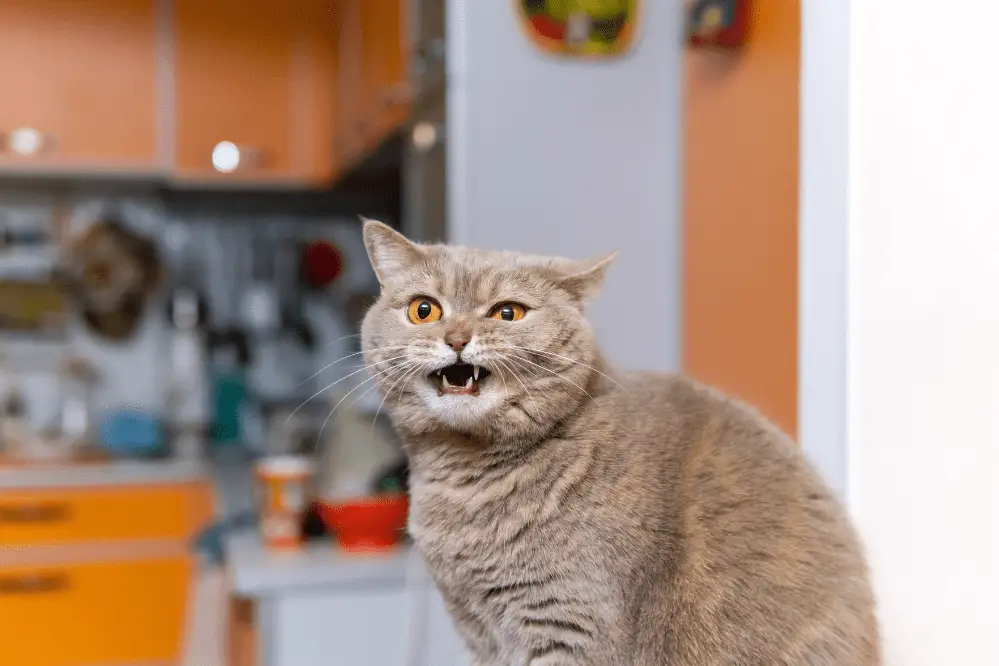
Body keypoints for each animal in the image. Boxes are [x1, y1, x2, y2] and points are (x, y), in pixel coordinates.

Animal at [362, 219, 884, 664]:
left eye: (508, 312)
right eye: (424, 309)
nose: (456, 338)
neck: (464, 480)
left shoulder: (572, 622)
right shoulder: (479, 632)